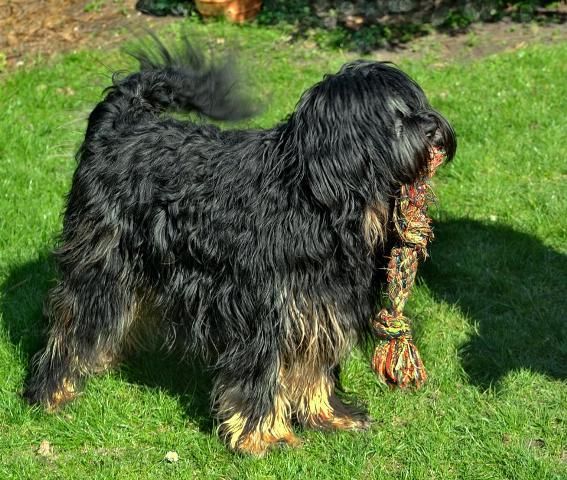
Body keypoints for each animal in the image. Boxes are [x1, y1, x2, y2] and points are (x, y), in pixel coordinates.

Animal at [26, 36, 458, 454]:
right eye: (392, 116)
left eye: (417, 105)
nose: (434, 128)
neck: (311, 195)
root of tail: (121, 123)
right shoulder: (264, 307)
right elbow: (261, 372)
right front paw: (263, 437)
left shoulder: (320, 302)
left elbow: (314, 365)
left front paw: (329, 415)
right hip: (102, 258)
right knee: (74, 321)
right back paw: (52, 392)